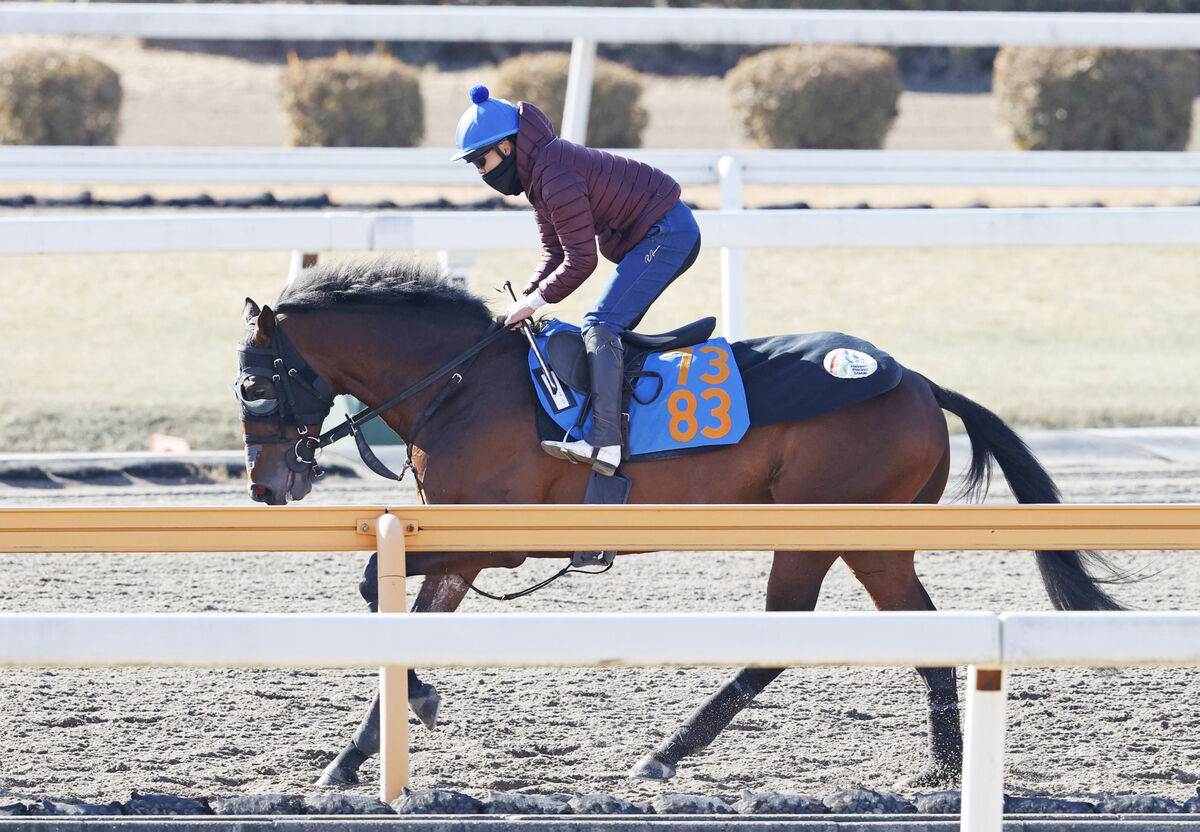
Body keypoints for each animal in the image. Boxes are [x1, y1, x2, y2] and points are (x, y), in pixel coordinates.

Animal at [236, 259, 1123, 792]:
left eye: (254, 384)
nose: (266, 487)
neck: (464, 384)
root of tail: (920, 381)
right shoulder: (456, 546)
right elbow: (406, 621)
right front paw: (355, 755)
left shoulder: (503, 538)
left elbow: (369, 586)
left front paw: (413, 705)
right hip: (870, 542)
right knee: (917, 636)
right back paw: (943, 771)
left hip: (828, 533)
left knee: (787, 641)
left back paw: (667, 753)